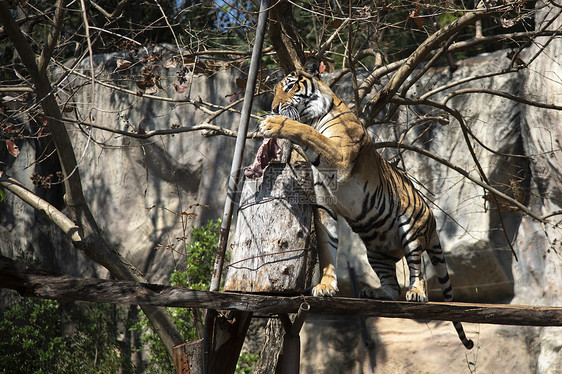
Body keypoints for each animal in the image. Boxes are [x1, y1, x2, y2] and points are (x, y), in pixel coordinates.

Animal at [258, 68, 472, 350]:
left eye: (290, 87)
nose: (273, 108)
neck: (315, 116)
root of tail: (432, 222)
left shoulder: (339, 155)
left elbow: (308, 133)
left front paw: (273, 124)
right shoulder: (325, 205)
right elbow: (327, 249)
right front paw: (325, 286)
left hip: (411, 230)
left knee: (418, 268)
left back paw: (416, 293)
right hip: (376, 251)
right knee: (393, 287)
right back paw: (375, 291)